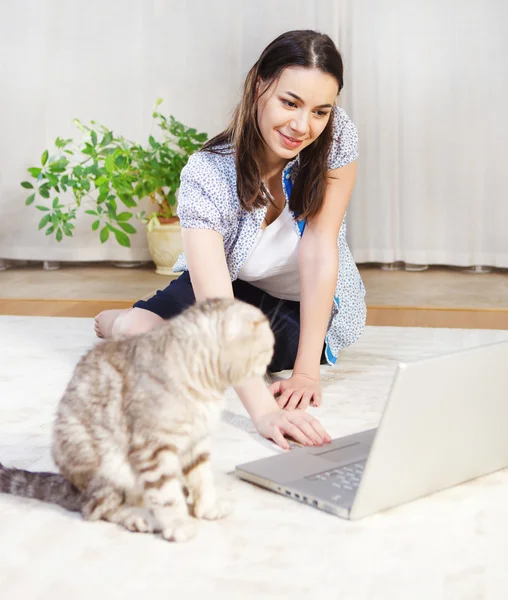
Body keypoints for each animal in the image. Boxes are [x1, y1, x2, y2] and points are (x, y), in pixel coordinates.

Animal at [0, 300, 274, 544]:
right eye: (269, 348)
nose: (269, 365)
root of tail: (72, 487)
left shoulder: (196, 443)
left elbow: (202, 479)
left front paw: (207, 507)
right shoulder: (152, 447)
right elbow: (166, 494)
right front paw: (178, 524)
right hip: (105, 468)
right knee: (97, 508)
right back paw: (140, 517)